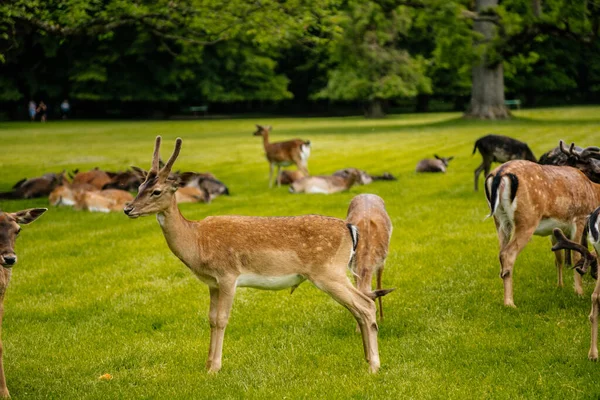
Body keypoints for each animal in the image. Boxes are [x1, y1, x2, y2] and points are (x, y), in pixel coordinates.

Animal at [124, 138, 392, 376]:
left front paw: (215, 369)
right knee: (359, 306)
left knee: (365, 304)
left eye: (156, 191)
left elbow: (221, 319)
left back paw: (374, 366)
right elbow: (210, 319)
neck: (196, 241)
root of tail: (350, 229)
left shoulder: (228, 274)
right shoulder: (212, 283)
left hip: (329, 271)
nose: (128, 208)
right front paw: (207, 365)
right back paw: (367, 359)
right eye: (138, 188)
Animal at [486, 142, 600, 308]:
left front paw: (560, 286)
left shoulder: (555, 229)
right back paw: (510, 303)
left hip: (500, 221)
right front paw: (579, 292)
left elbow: (558, 257)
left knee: (500, 253)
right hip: (527, 219)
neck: (594, 191)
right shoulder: (579, 218)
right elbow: (577, 254)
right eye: (591, 168)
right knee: (508, 254)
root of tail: (499, 174)